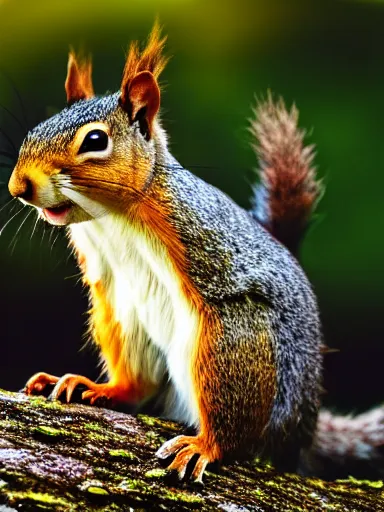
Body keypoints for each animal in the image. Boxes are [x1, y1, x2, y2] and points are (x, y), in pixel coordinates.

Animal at [6, 23, 384, 480]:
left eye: (95, 140)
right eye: (33, 131)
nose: (18, 186)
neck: (111, 218)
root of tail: (303, 433)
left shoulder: (218, 272)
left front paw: (209, 446)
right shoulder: (113, 290)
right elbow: (133, 377)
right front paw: (100, 386)